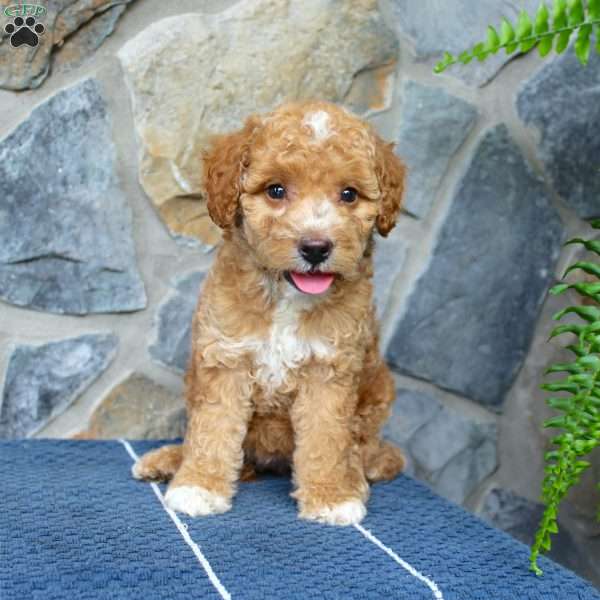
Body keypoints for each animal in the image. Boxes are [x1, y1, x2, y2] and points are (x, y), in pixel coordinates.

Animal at [135, 102, 408, 524]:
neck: (286, 296)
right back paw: (169, 460)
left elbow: (327, 437)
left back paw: (355, 478)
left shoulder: (329, 370)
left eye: (349, 194)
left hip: (377, 395)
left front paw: (330, 495)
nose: (316, 247)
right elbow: (212, 430)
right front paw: (199, 485)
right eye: (275, 190)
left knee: (365, 452)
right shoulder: (225, 359)